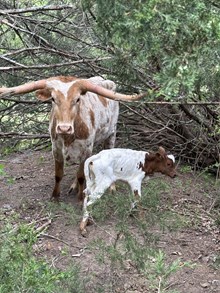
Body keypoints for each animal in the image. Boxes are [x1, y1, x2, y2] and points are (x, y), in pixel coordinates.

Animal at [0, 74, 145, 201]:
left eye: (77, 99)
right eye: (53, 99)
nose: (64, 128)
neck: (67, 138)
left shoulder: (86, 149)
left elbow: (81, 175)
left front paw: (80, 198)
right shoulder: (56, 148)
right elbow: (58, 174)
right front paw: (55, 196)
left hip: (111, 134)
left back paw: (111, 187)